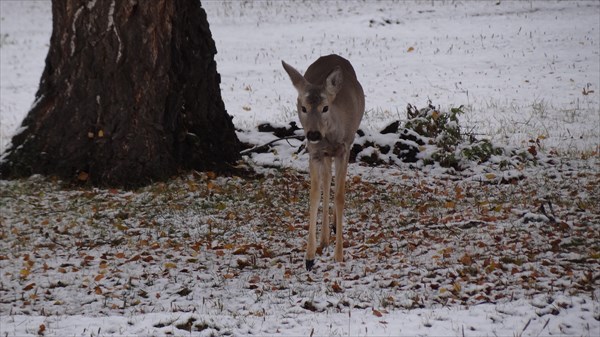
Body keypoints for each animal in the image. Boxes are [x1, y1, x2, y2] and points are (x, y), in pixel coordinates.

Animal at [282, 55, 366, 270]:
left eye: (325, 107)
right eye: (303, 107)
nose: (313, 134)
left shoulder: (345, 149)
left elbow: (340, 196)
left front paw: (339, 255)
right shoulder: (315, 153)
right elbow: (314, 195)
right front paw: (309, 257)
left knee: (332, 183)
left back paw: (334, 229)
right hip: (324, 155)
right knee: (327, 181)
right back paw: (324, 238)